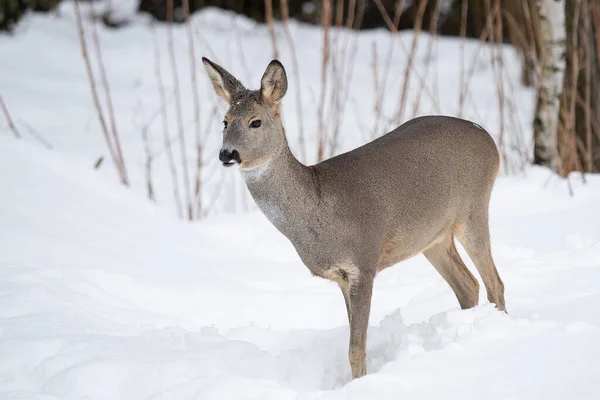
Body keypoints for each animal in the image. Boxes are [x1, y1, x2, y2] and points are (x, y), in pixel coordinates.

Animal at [203, 56, 506, 378]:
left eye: (255, 121)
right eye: (225, 121)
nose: (227, 154)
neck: (318, 206)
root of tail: (489, 139)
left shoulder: (364, 261)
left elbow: (356, 349)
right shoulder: (342, 276)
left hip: (474, 208)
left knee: (494, 283)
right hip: (432, 238)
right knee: (468, 286)